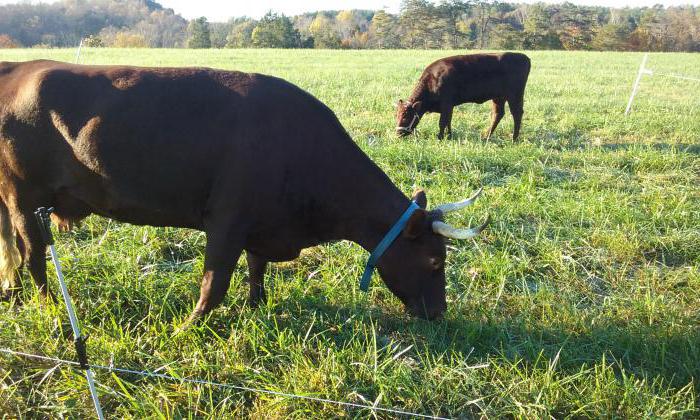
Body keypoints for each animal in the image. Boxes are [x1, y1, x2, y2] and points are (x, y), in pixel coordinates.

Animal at [0, 60, 490, 324]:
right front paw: (190, 328)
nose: (438, 314)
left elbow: (257, 270)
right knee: (33, 253)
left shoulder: (261, 224)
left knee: (14, 250)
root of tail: (20, 67)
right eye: (435, 261)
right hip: (23, 197)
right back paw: (46, 304)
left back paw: (14, 293)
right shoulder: (226, 222)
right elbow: (214, 284)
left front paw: (257, 307)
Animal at [394, 52, 532, 140]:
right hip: (498, 97)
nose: (398, 133)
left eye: (406, 116)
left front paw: (440, 137)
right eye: (396, 115)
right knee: (498, 114)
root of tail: (523, 57)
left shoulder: (447, 104)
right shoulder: (449, 107)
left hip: (515, 95)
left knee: (517, 113)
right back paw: (487, 136)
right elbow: (448, 121)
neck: (432, 80)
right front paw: (449, 136)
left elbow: (442, 122)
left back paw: (514, 138)